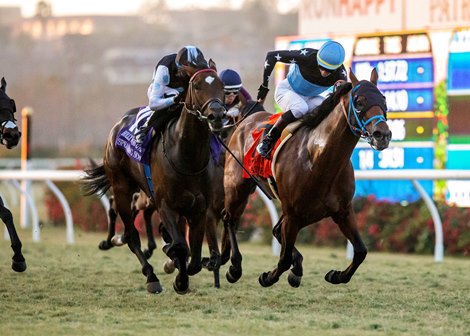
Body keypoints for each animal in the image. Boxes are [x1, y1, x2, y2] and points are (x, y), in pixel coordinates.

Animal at [81, 63, 227, 294]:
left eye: (221, 86)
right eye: (196, 85)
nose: (218, 115)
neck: (187, 157)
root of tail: (117, 125)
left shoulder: (199, 209)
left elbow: (194, 258)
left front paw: (179, 266)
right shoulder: (165, 204)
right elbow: (182, 247)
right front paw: (180, 279)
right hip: (122, 186)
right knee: (131, 234)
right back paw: (150, 276)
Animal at [222, 67, 392, 286]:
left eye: (384, 100)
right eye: (359, 101)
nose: (382, 134)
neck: (320, 159)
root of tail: (248, 117)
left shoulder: (342, 210)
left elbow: (361, 251)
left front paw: (336, 275)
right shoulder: (293, 213)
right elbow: (284, 258)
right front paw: (268, 277)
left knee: (273, 229)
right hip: (236, 186)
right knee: (229, 219)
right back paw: (234, 267)